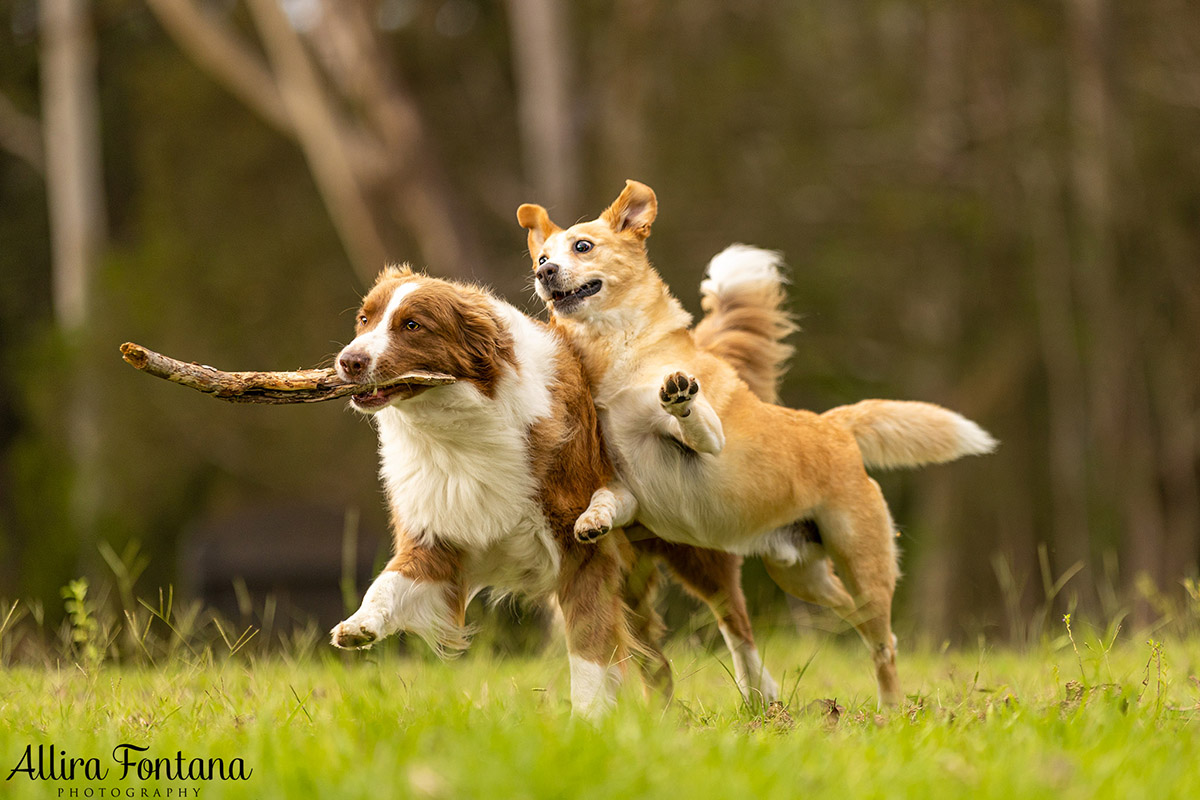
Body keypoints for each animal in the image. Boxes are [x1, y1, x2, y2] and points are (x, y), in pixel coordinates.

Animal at [324, 266, 782, 714]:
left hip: (693, 545)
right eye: (364, 319)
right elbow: (388, 581)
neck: (452, 433)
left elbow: (590, 654)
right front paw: (360, 624)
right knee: (658, 661)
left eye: (412, 325)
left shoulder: (583, 559)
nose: (349, 362)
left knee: (734, 620)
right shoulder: (439, 540)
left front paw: (586, 724)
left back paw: (763, 698)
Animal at [516, 183, 993, 705]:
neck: (617, 352)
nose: (543, 273)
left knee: (881, 641)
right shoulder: (624, 486)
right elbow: (604, 499)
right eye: (542, 256)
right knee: (858, 622)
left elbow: (695, 423)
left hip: (862, 562)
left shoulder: (710, 440)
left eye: (583, 246)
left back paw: (890, 708)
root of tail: (835, 427)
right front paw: (590, 521)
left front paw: (680, 396)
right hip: (801, 575)